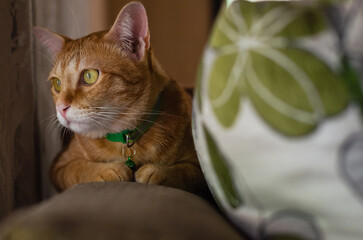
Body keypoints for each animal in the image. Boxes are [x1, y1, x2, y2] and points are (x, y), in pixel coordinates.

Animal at [35, 1, 209, 195]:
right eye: (57, 83)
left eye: (89, 76)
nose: (61, 108)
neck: (124, 137)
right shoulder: (59, 167)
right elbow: (78, 169)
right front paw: (109, 170)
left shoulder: (199, 166)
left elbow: (187, 171)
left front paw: (157, 172)